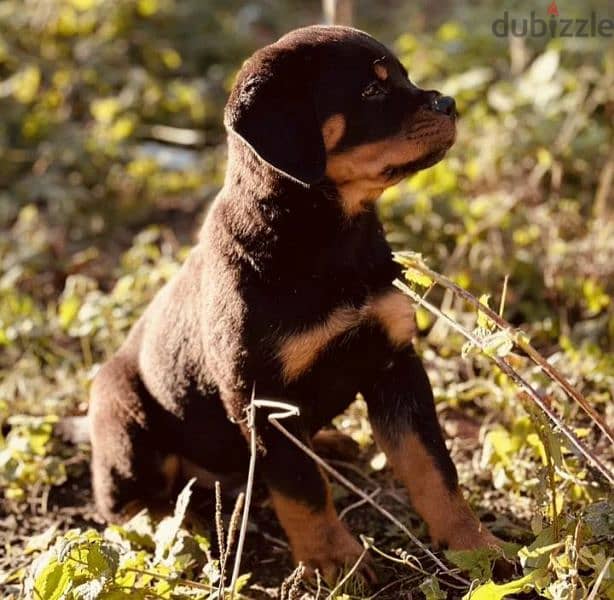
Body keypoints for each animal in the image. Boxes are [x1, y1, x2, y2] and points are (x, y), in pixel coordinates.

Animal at [89, 24, 502, 580]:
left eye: (403, 76)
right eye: (371, 90)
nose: (449, 103)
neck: (330, 240)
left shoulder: (395, 363)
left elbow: (433, 467)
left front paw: (475, 544)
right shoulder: (261, 397)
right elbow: (303, 489)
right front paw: (335, 561)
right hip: (122, 417)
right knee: (131, 505)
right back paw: (180, 526)